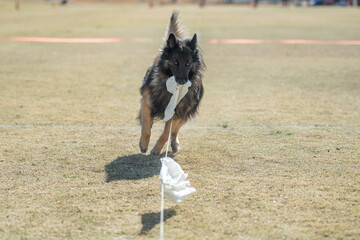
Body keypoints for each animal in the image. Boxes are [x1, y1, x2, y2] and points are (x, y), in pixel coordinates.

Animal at [138, 11, 205, 155]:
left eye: (188, 63)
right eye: (175, 62)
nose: (182, 81)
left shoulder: (178, 111)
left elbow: (166, 133)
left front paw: (157, 149)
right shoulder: (146, 101)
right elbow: (146, 125)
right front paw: (144, 144)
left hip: (187, 111)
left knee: (175, 131)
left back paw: (175, 143)